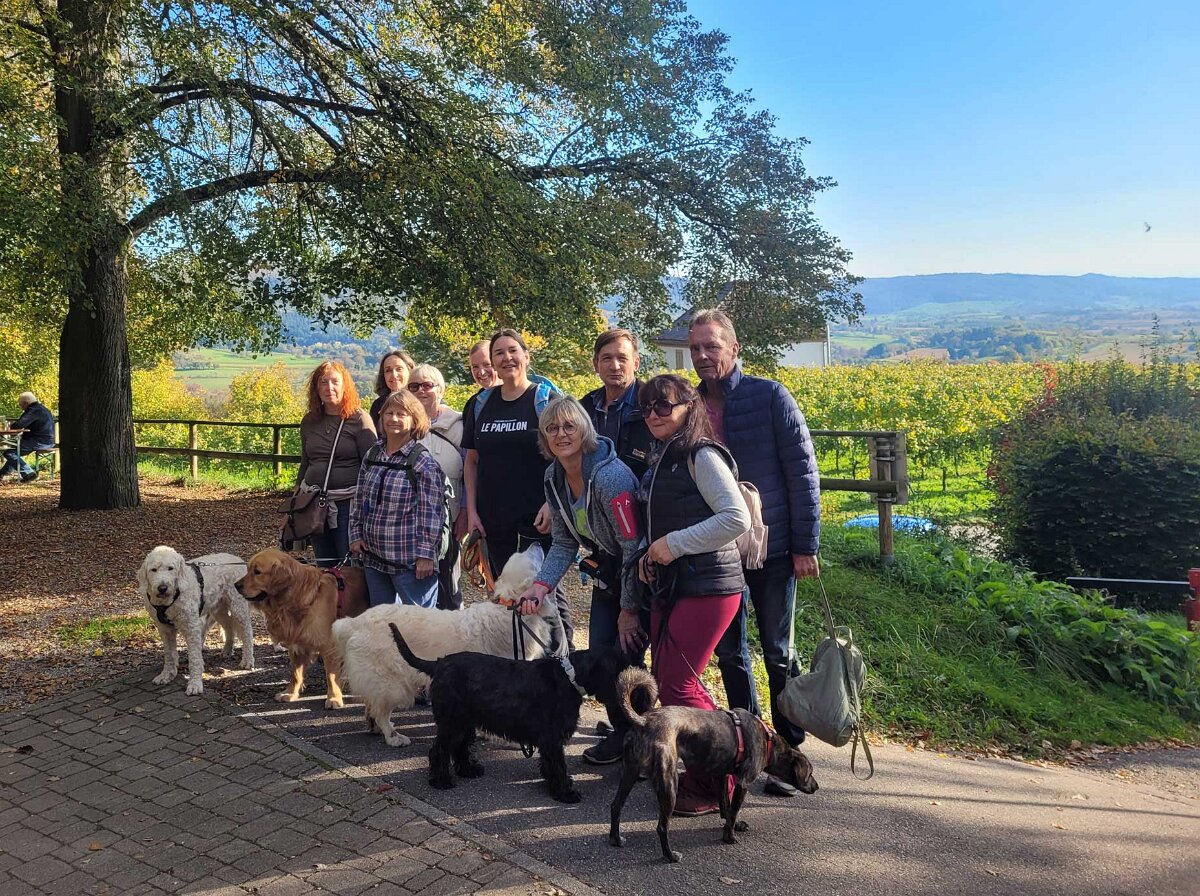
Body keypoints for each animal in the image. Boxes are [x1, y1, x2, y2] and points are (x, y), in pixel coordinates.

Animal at [137, 546, 255, 696]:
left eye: (170, 568)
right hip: (218, 610)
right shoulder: (164, 629)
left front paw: (195, 684)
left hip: (238, 607)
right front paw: (167, 674)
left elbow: (194, 658)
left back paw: (247, 660)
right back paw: (228, 649)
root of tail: (237, 559)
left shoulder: (191, 627)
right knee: (229, 626)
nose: (162, 588)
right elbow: (169, 655)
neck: (171, 599)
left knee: (247, 632)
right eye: (153, 570)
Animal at [234, 549, 369, 708]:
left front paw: (334, 698)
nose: (236, 585)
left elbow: (331, 675)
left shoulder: (329, 646)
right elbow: (295, 674)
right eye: (248, 569)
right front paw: (290, 693)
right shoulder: (296, 642)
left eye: (257, 572)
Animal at [330, 545, 556, 747]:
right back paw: (393, 736)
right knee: (381, 710)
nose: (536, 542)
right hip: (392, 684)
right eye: (529, 556)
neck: (511, 608)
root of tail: (353, 622)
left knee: (372, 705)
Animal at [390, 623, 632, 803]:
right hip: (453, 723)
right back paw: (441, 781)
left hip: (464, 722)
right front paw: (564, 792)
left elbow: (550, 764)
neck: (570, 677)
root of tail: (439, 664)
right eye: (618, 669)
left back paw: (469, 769)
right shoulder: (552, 738)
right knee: (438, 751)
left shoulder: (549, 741)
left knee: (460, 747)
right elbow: (558, 765)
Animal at [609, 667, 818, 863]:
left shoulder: (720, 777)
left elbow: (726, 807)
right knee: (661, 826)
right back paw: (670, 856)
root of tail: (644, 720)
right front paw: (730, 836)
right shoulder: (743, 782)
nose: (817, 787)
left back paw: (615, 839)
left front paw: (733, 826)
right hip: (669, 783)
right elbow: (734, 810)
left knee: (616, 806)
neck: (768, 742)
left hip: (630, 772)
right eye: (809, 773)